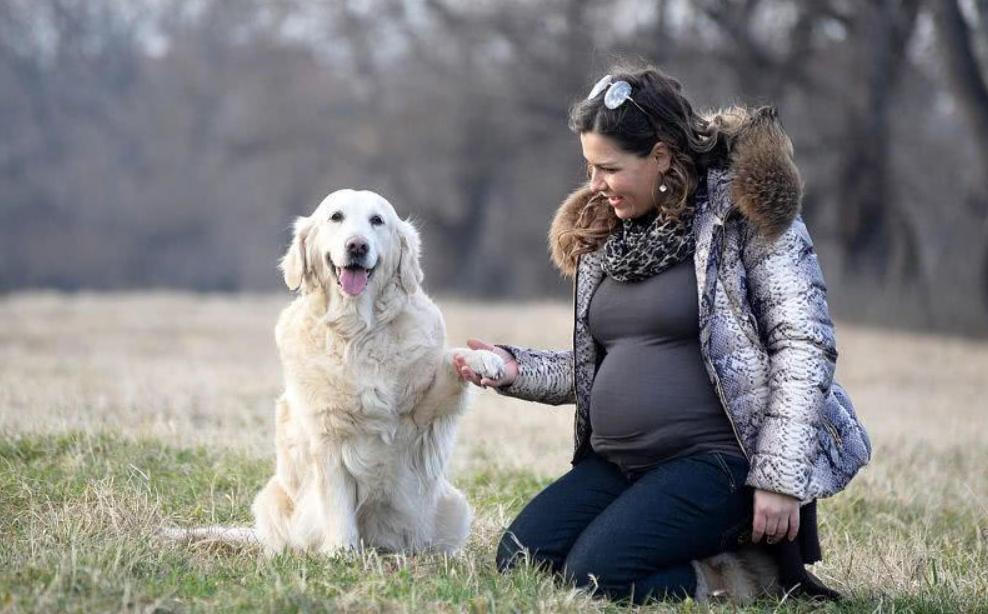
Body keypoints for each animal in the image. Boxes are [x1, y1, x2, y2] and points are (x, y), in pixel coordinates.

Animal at [168, 190, 502, 556]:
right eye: (336, 217)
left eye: (377, 220)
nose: (357, 246)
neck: (357, 331)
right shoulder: (327, 434)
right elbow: (337, 500)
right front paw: (340, 551)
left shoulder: (422, 416)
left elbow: (450, 362)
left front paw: (483, 358)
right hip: (271, 500)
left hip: (452, 506)